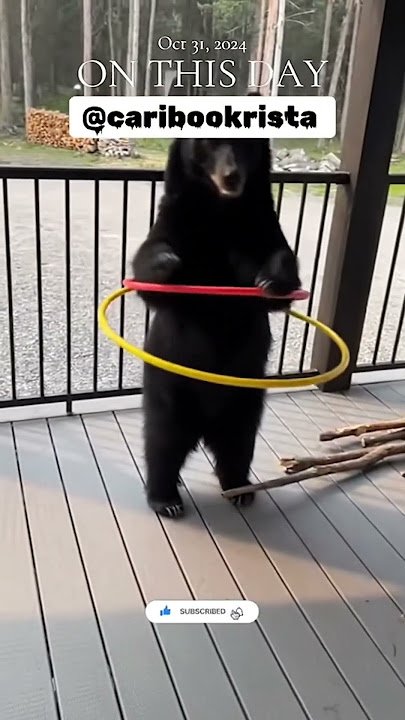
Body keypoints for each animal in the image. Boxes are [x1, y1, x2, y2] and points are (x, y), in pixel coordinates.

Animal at [132, 138, 301, 518]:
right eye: (208, 144)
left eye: (245, 145)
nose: (231, 176)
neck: (219, 211)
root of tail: (204, 425)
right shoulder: (176, 218)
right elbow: (149, 263)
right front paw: (167, 263)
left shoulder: (259, 223)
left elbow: (280, 257)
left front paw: (271, 280)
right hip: (170, 389)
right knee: (163, 442)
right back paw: (165, 498)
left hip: (246, 397)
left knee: (239, 444)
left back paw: (239, 488)